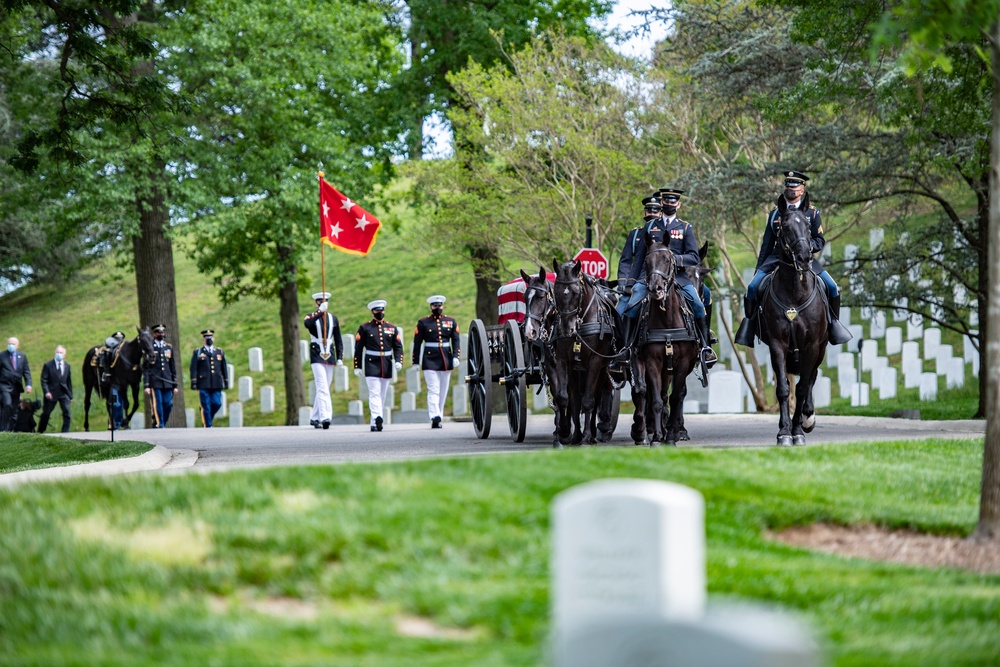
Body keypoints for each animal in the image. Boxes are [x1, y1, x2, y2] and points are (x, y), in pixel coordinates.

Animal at [632, 237, 696, 446]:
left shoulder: (683, 363)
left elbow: (675, 397)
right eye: (646, 261)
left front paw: (671, 435)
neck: (667, 320)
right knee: (650, 393)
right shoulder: (652, 362)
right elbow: (657, 400)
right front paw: (657, 438)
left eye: (668, 260)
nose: (655, 288)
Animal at [756, 211, 828, 446]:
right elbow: (783, 388)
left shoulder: (812, 345)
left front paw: (798, 430)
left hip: (820, 349)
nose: (805, 258)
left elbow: (804, 387)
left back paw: (808, 417)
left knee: (812, 376)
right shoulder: (778, 345)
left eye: (808, 225)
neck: (795, 292)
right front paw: (784, 432)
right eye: (785, 227)